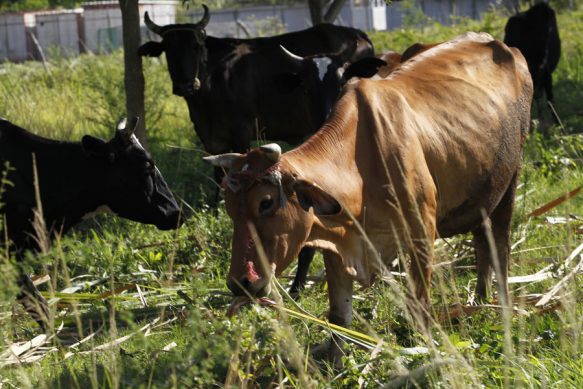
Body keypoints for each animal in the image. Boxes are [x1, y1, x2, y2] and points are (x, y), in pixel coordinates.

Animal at [205, 31, 532, 362]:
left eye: (266, 202)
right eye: (230, 209)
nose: (240, 283)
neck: (361, 163)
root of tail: (497, 42)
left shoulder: (422, 232)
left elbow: (420, 309)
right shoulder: (336, 244)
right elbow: (339, 318)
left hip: (511, 178)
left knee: (499, 246)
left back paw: (501, 305)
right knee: (482, 241)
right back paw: (479, 300)